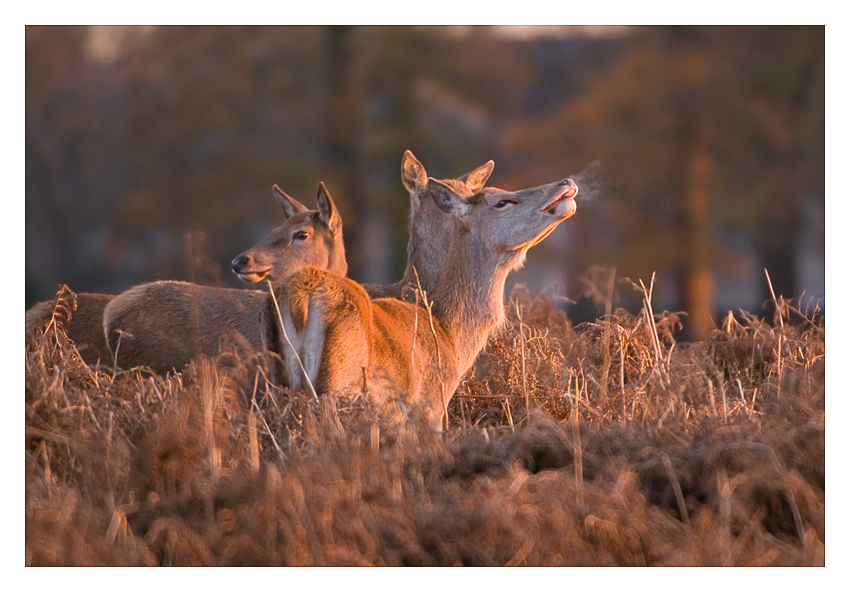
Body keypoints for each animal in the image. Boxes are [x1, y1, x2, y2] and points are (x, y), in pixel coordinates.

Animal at [258, 173, 576, 428]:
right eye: (501, 202)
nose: (566, 182)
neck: (449, 335)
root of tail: (301, 294)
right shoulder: (430, 405)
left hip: (282, 382)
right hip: (335, 383)